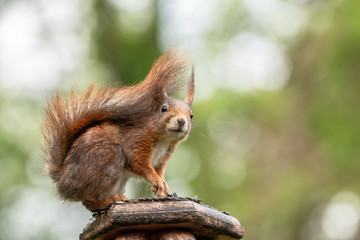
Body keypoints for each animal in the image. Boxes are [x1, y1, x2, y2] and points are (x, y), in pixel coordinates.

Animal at [42, 48, 195, 210]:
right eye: (164, 108)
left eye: (191, 115)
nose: (181, 121)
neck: (164, 140)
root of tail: (63, 180)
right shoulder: (136, 140)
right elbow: (140, 164)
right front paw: (156, 180)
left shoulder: (161, 160)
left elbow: (159, 171)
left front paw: (162, 185)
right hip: (107, 156)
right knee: (88, 200)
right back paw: (110, 201)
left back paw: (120, 197)